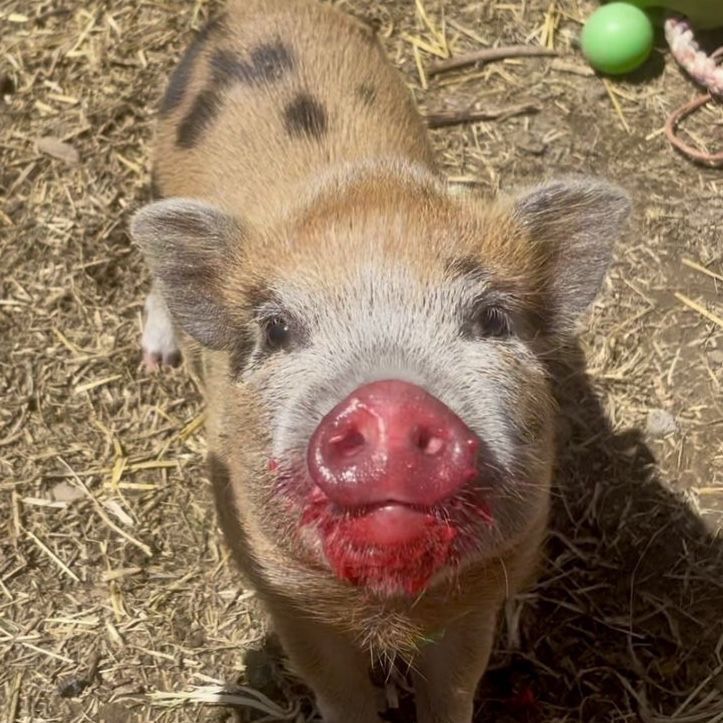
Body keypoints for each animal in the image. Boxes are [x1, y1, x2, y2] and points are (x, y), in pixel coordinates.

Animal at [130, 1, 630, 721]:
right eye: (276, 329)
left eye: (492, 318)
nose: (391, 399)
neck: (383, 608)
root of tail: (254, 11)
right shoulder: (281, 590)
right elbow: (334, 687)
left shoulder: (483, 590)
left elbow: (455, 687)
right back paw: (157, 357)